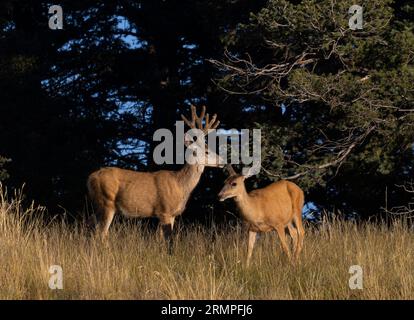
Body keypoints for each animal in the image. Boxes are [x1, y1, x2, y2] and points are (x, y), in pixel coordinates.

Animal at [87, 105, 223, 250]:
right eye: (207, 151)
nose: (223, 161)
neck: (180, 184)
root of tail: (90, 178)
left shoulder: (171, 215)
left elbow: (159, 240)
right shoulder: (164, 211)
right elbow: (167, 240)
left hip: (99, 206)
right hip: (107, 202)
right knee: (101, 233)